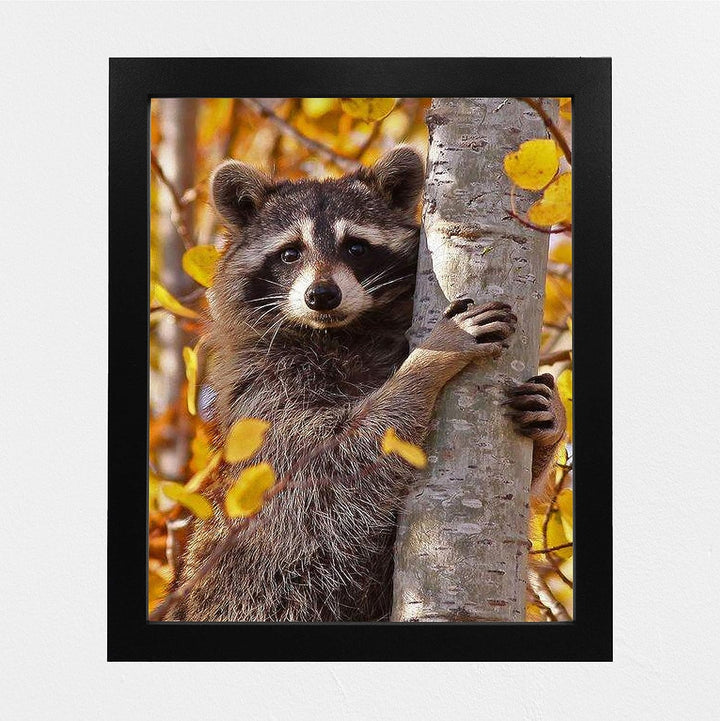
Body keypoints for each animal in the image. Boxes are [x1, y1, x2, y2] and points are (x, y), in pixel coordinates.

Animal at [169, 147, 566, 622]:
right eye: (289, 253)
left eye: (356, 247)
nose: (322, 295)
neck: (341, 333)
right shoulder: (264, 396)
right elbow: (331, 459)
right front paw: (429, 358)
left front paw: (552, 425)